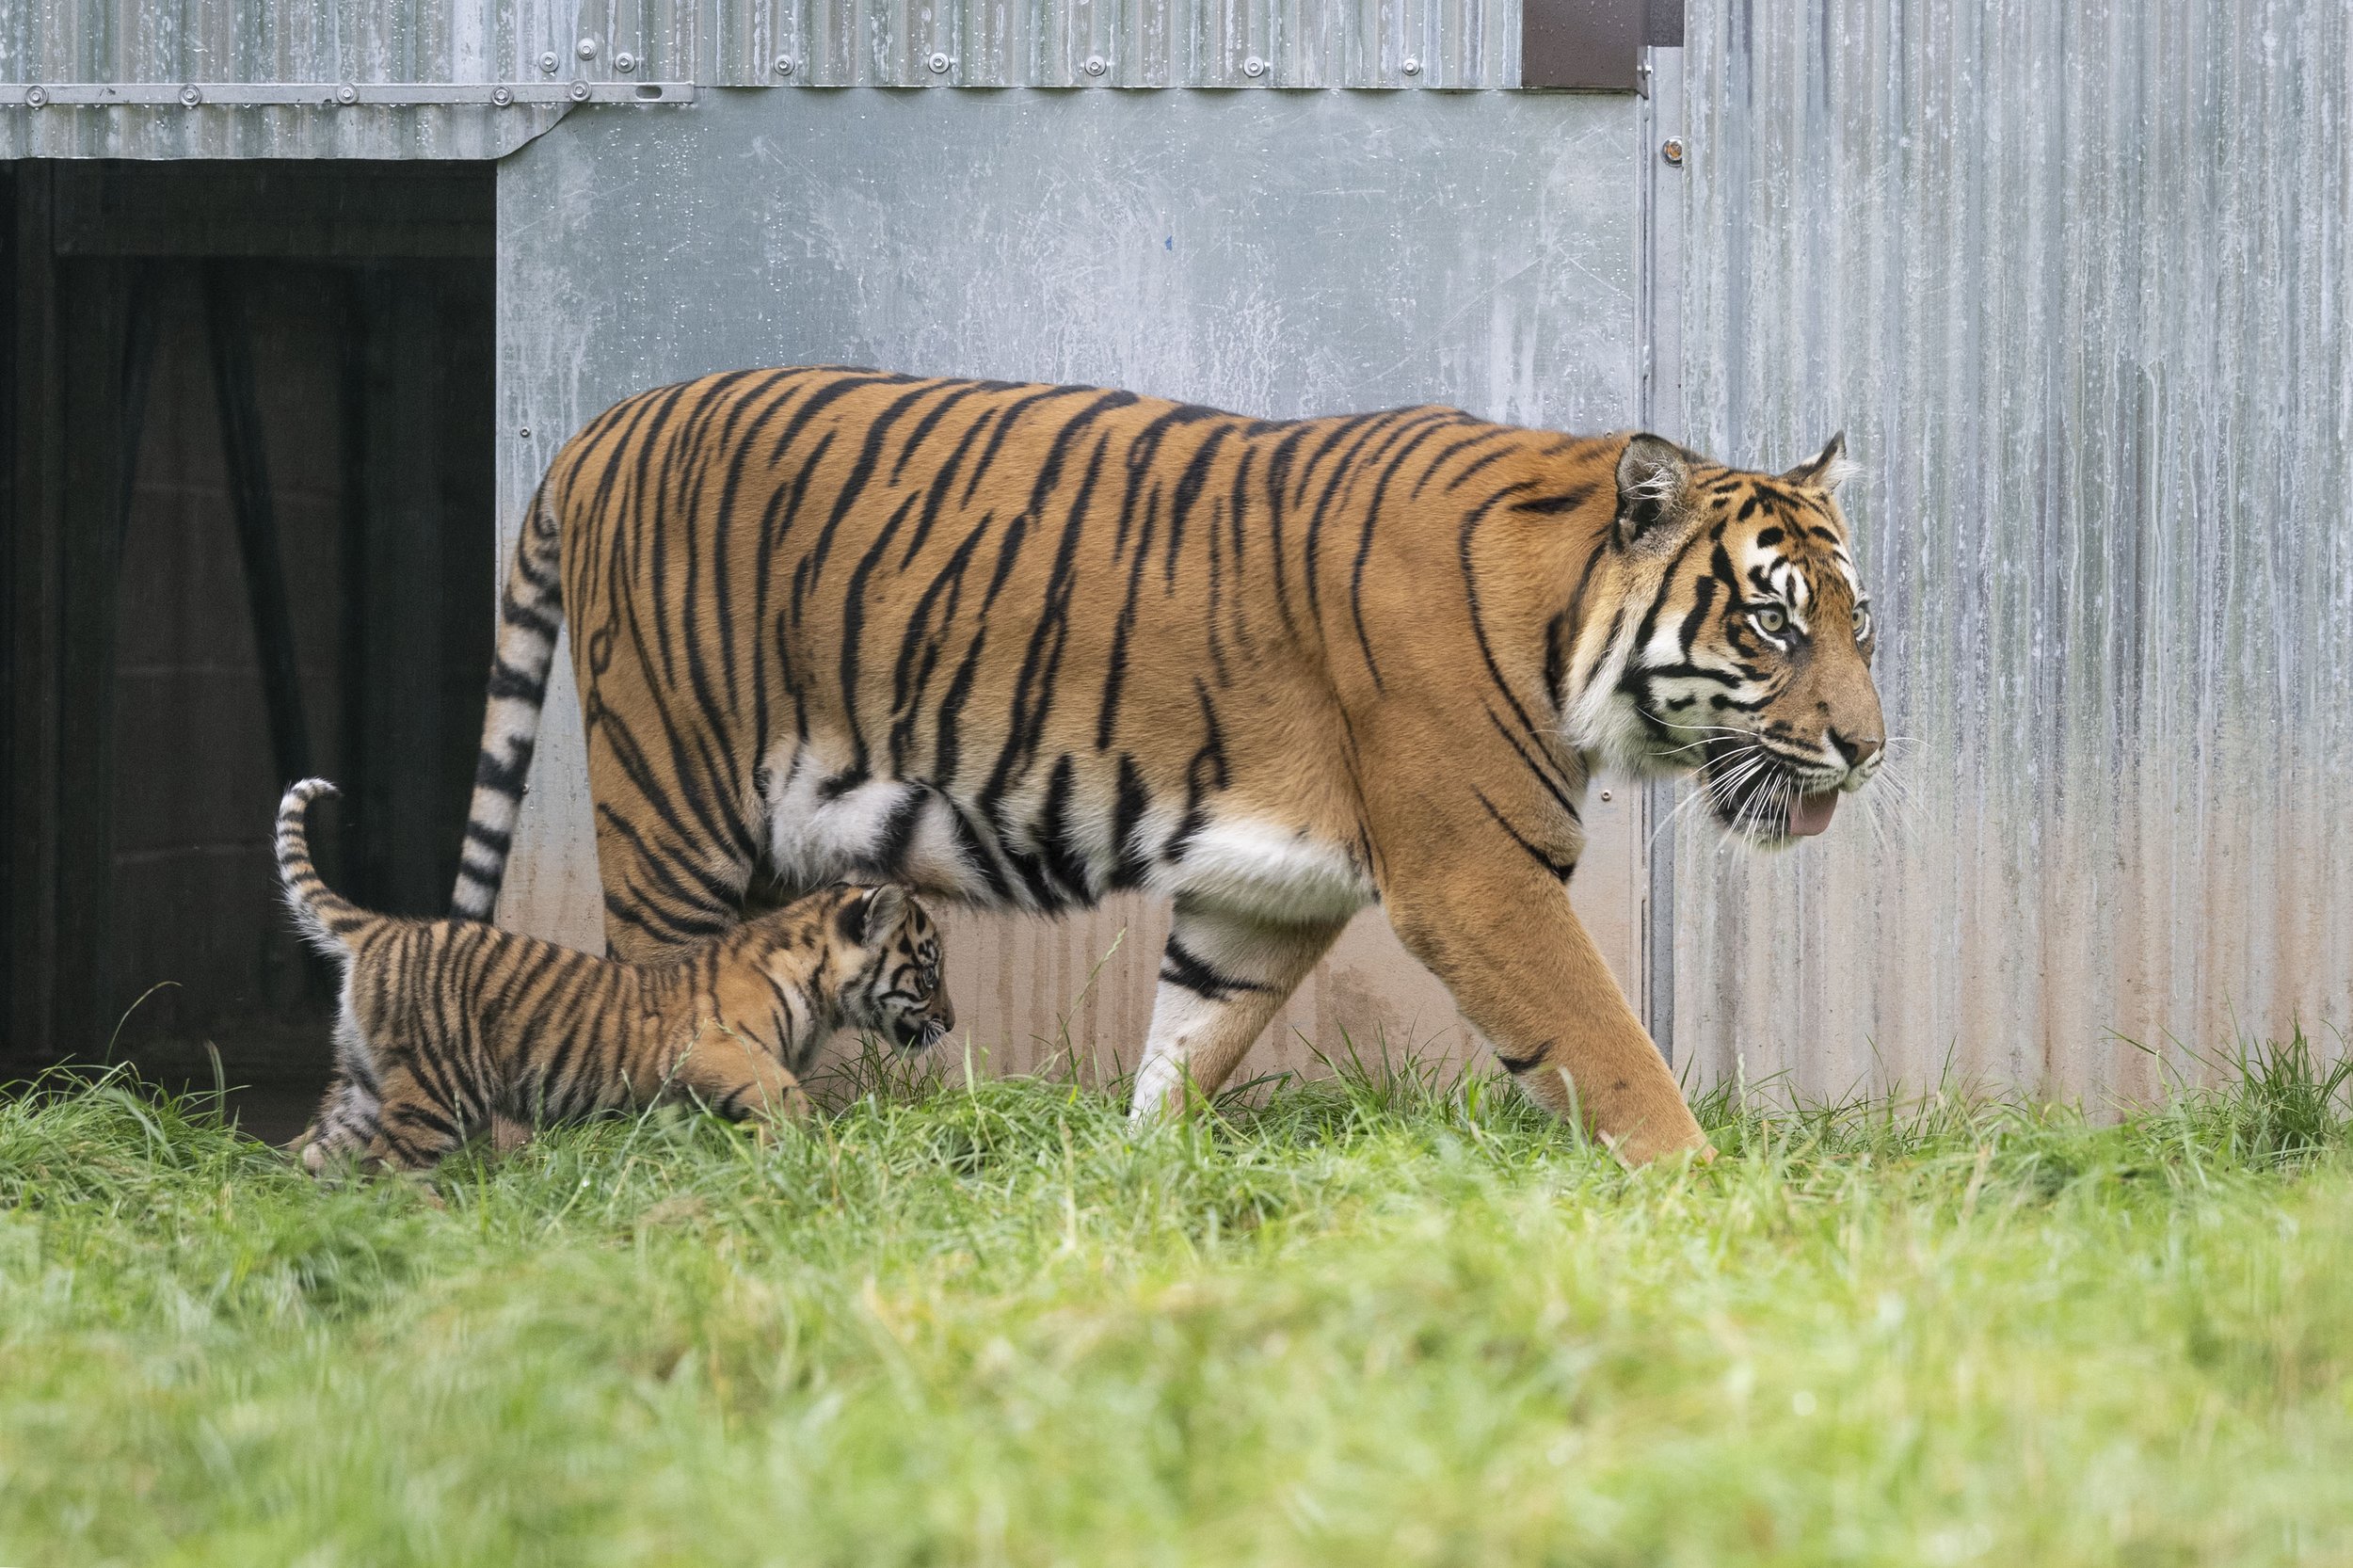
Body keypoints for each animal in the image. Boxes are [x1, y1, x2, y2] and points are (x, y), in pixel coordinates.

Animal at [277, 778, 953, 1173]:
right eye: (927, 973)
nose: (949, 1023)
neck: (818, 988)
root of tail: (383, 930)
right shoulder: (713, 1047)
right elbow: (781, 1092)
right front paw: (807, 1147)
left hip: (368, 1088)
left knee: (315, 1154)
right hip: (437, 1085)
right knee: (393, 1169)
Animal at [450, 368, 1885, 1165]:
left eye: (1857, 621)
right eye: (1772, 625)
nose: (1869, 749)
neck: (1562, 618)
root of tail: (597, 428)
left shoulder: (1263, 892)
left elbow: (1191, 1035)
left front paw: (1138, 1177)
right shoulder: (1476, 875)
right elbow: (1608, 1043)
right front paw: (1705, 1192)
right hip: (674, 806)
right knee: (658, 1003)